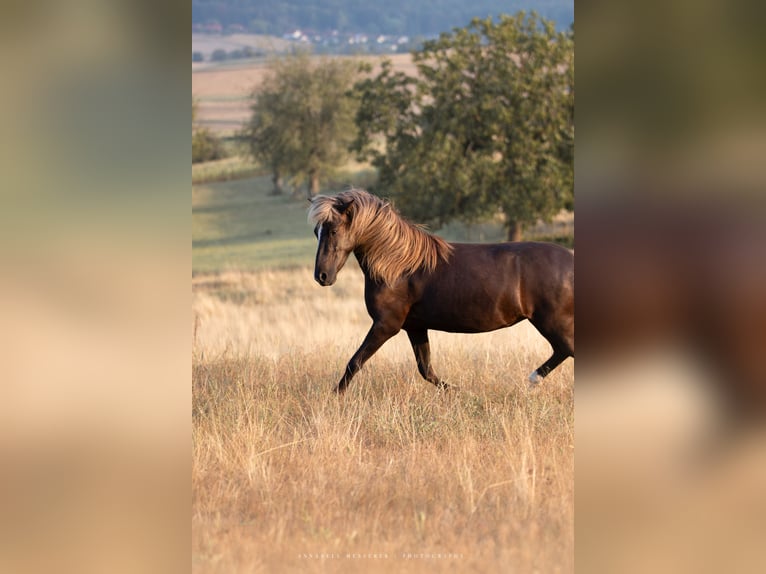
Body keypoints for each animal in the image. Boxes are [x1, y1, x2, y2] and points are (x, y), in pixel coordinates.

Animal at [308, 189, 574, 393]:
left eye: (333, 231)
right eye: (315, 232)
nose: (322, 276)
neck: (399, 266)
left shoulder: (386, 325)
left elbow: (354, 362)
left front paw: (335, 397)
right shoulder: (415, 327)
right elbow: (426, 369)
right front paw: (458, 391)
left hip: (552, 322)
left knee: (567, 350)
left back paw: (533, 379)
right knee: (563, 351)